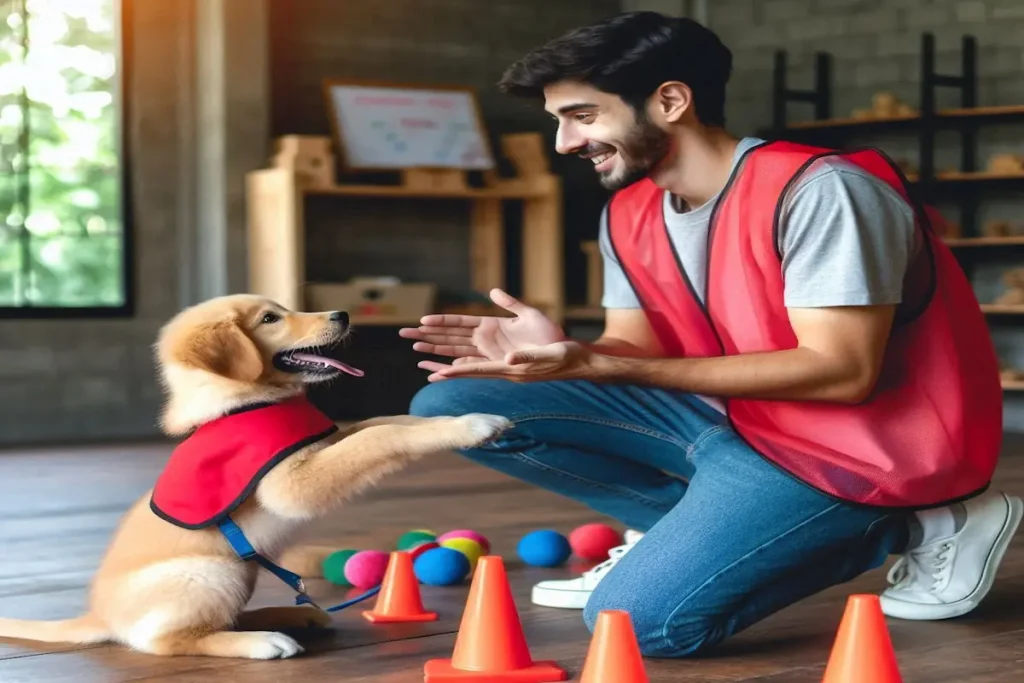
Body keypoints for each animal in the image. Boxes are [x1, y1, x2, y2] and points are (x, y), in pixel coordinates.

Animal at [0, 296, 509, 659]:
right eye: (269, 319)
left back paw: (289, 617)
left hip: (238, 572)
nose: (342, 313)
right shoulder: (289, 483)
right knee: (168, 640)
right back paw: (263, 640)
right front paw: (473, 425)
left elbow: (385, 422)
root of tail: (100, 616)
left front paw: (462, 419)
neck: (246, 401)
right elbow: (379, 436)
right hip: (211, 572)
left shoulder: (322, 439)